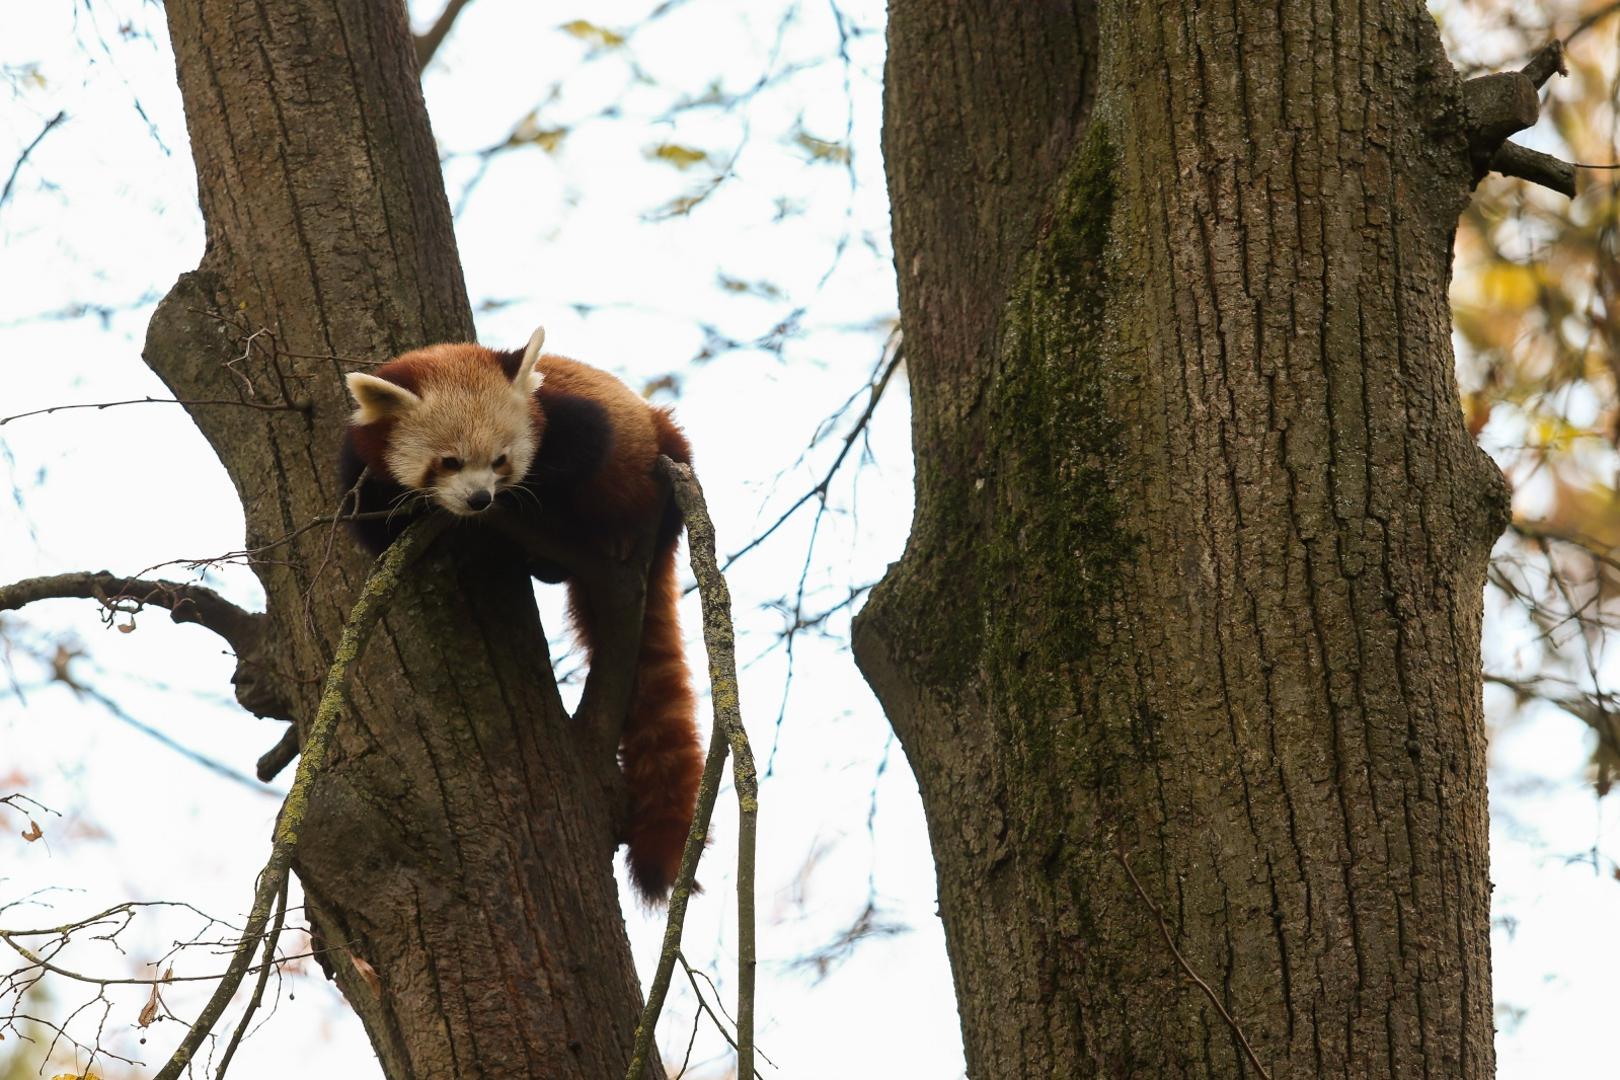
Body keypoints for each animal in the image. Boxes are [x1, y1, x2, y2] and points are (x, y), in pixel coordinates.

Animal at [338, 325, 699, 900]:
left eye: (500, 460)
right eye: (449, 462)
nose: (480, 500)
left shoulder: (570, 419)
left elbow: (573, 456)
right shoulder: (361, 465)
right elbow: (376, 524)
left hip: (664, 452)